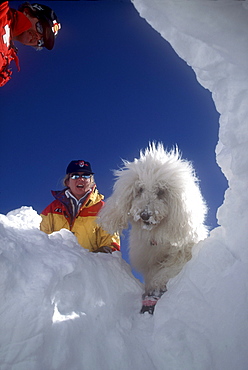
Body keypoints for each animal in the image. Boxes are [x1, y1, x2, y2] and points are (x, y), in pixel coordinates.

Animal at [98, 143, 208, 314]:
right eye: (140, 189)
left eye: (161, 191)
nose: (145, 215)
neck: (156, 235)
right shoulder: (149, 262)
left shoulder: (181, 255)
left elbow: (165, 273)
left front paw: (156, 290)